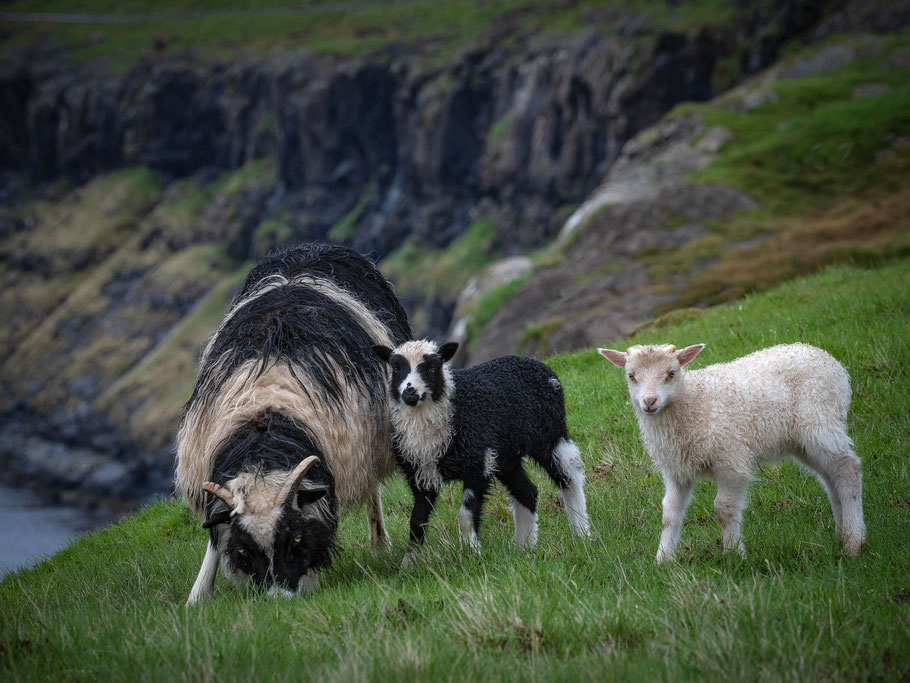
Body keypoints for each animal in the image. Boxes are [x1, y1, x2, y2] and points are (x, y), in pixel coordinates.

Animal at [175, 243, 411, 602]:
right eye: (245, 550)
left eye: (296, 538)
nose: (279, 601)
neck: (266, 419)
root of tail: (312, 246)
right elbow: (215, 539)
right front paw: (197, 596)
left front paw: (309, 582)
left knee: (372, 486)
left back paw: (380, 544)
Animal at [372, 340, 590, 555]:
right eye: (396, 368)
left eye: (432, 368)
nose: (410, 392)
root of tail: (536, 364)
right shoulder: (422, 475)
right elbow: (417, 522)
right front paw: (411, 560)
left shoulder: (478, 464)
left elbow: (465, 515)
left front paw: (472, 552)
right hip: (506, 456)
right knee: (527, 492)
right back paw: (525, 546)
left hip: (550, 435)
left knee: (569, 479)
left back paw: (582, 533)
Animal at [598, 342, 866, 561]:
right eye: (631, 376)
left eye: (671, 374)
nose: (649, 402)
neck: (693, 403)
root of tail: (830, 361)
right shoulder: (677, 469)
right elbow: (669, 513)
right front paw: (663, 559)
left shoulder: (731, 458)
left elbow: (724, 508)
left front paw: (734, 554)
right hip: (802, 441)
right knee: (830, 478)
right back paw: (841, 534)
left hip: (820, 421)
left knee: (848, 469)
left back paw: (854, 542)